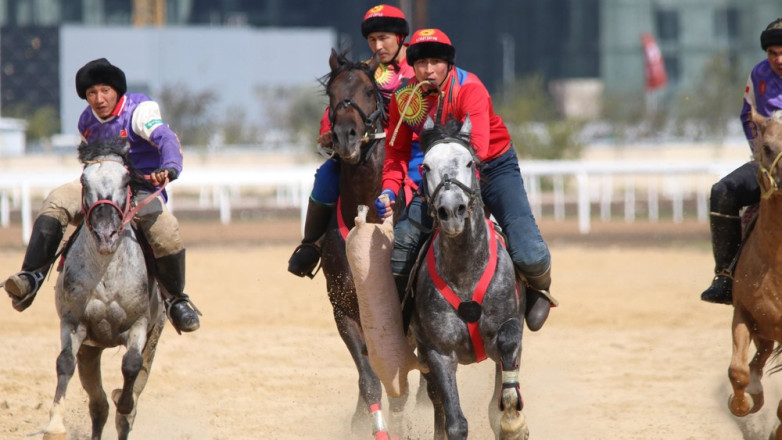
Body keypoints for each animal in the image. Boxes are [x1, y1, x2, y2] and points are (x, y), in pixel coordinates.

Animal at [43, 138, 165, 440]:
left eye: (126, 180)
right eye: (84, 180)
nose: (105, 234)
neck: (106, 271)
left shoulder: (139, 324)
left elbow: (131, 365)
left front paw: (125, 401)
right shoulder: (74, 323)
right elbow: (64, 362)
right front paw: (55, 425)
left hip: (154, 335)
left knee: (129, 395)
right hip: (90, 350)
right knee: (98, 406)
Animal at [414, 117, 528, 440]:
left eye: (469, 162)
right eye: (425, 167)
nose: (451, 210)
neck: (465, 273)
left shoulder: (510, 324)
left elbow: (508, 351)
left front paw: (513, 423)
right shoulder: (438, 351)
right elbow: (454, 422)